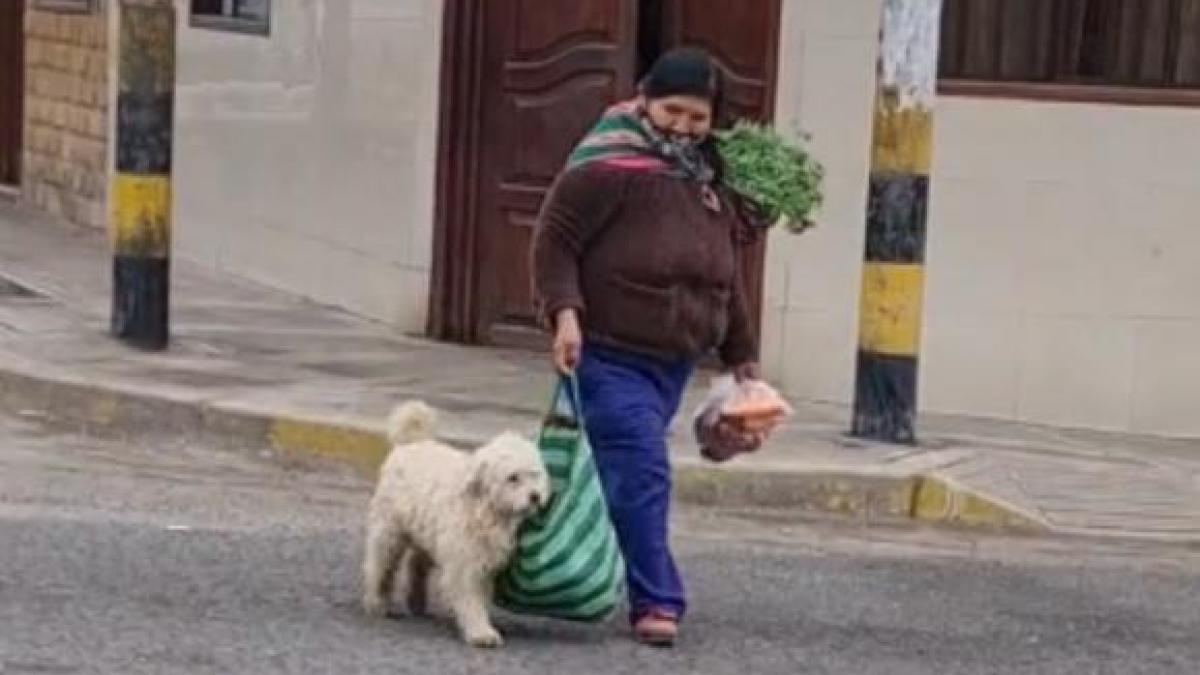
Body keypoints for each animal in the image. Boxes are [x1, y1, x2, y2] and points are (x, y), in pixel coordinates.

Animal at [360, 401, 549, 643]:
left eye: (535, 474)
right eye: (513, 478)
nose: (535, 496)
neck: (483, 505)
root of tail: (412, 443)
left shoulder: (484, 559)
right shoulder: (465, 560)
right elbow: (469, 596)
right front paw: (480, 631)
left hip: (427, 534)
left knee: (416, 565)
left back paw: (416, 601)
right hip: (389, 531)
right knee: (380, 564)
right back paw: (377, 601)